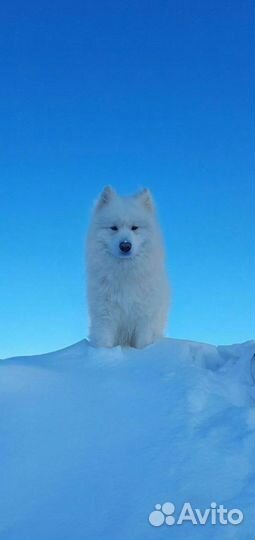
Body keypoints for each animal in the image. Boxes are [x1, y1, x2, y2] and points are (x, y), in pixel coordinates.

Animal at [85, 189, 169, 350]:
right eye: (114, 228)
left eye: (134, 227)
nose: (125, 245)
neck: (125, 275)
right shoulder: (105, 315)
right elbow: (104, 342)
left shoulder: (144, 317)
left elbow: (143, 344)